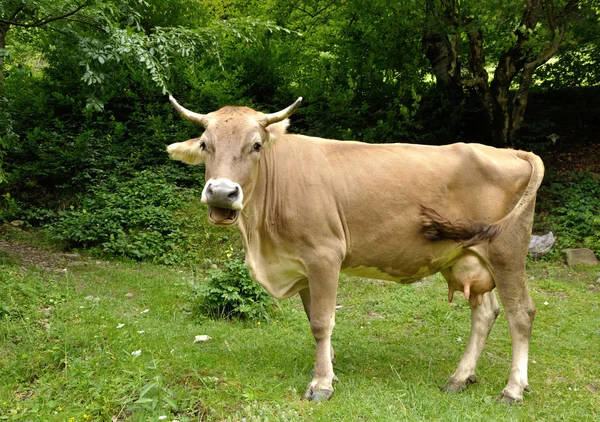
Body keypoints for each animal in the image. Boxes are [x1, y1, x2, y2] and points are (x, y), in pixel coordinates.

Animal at [166, 95, 548, 402]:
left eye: (256, 145)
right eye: (205, 144)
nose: (221, 192)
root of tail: (511, 152)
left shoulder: (324, 255)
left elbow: (322, 322)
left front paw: (321, 384)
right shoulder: (301, 265)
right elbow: (314, 319)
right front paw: (328, 369)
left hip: (507, 253)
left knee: (521, 314)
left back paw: (513, 388)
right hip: (470, 256)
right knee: (485, 313)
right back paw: (460, 377)